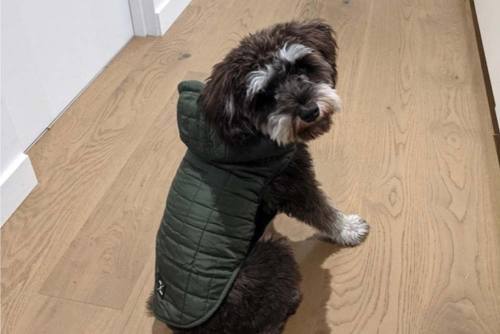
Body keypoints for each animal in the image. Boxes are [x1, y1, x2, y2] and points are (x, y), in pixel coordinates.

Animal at [146, 19, 370, 332]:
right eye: (263, 96)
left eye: (301, 68)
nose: (309, 111)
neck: (249, 134)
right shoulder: (293, 185)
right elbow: (322, 211)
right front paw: (349, 229)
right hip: (270, 258)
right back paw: (292, 298)